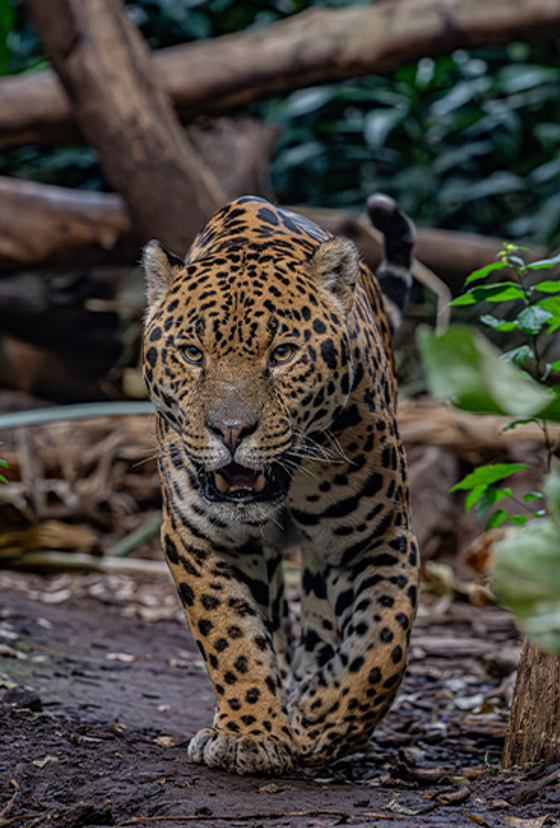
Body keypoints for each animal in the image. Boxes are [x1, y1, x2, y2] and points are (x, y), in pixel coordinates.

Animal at [142, 194, 419, 776]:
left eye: (284, 353)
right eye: (191, 353)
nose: (230, 430)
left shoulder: (381, 539)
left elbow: (382, 647)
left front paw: (319, 719)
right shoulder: (199, 536)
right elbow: (232, 638)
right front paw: (249, 733)